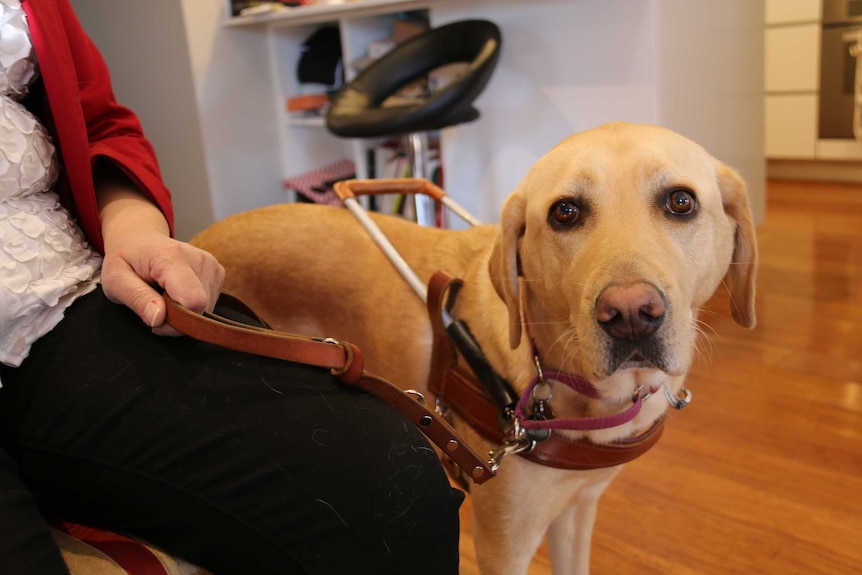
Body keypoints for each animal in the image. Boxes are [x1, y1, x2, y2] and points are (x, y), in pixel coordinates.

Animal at [192, 124, 760, 572]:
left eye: (681, 202)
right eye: (565, 213)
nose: (630, 315)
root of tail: (198, 240)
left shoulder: (577, 513)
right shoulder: (504, 545)